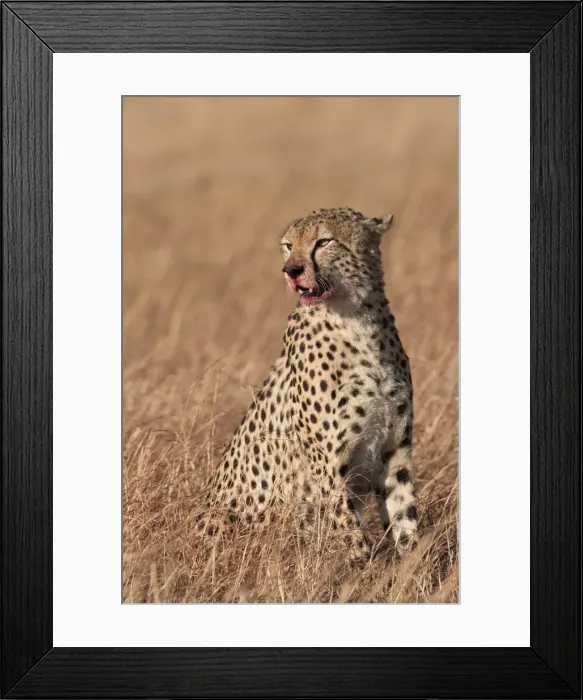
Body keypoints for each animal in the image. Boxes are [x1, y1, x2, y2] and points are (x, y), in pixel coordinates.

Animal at [202, 207, 418, 561]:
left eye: (323, 242)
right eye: (289, 246)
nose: (291, 271)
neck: (357, 321)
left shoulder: (395, 451)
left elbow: (405, 520)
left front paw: (412, 569)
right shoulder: (329, 466)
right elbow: (350, 533)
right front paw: (364, 569)